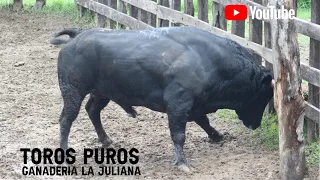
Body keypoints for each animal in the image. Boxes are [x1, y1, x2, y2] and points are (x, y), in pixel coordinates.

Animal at [51, 26, 274, 172]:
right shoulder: (178, 104)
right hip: (73, 92)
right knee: (66, 119)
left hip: (101, 93)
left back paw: (106, 140)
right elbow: (179, 134)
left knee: (92, 110)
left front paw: (217, 136)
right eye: (263, 95)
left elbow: (204, 121)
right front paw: (183, 163)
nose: (256, 124)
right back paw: (65, 154)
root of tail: (77, 36)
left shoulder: (195, 105)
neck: (208, 60)